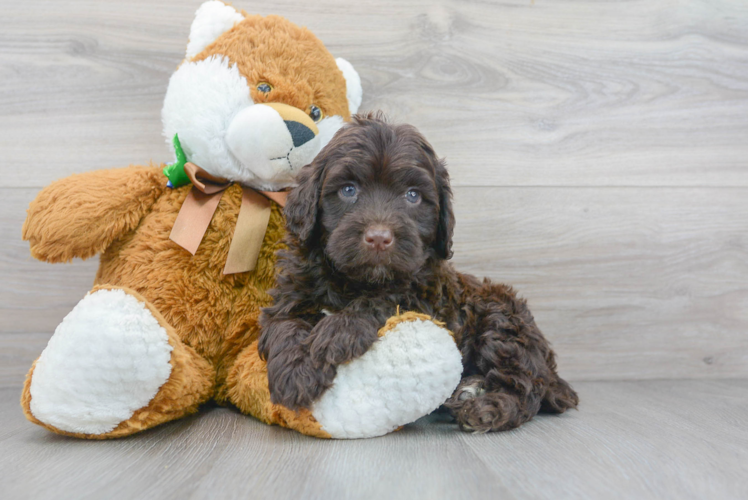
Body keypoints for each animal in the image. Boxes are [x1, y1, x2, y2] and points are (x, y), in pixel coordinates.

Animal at [258, 114, 580, 434]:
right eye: (348, 190)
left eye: (412, 195)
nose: (379, 238)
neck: (357, 280)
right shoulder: (292, 290)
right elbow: (284, 323)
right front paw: (294, 371)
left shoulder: (427, 294)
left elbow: (384, 300)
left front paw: (337, 332)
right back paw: (472, 389)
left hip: (502, 322)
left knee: (527, 388)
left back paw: (486, 409)